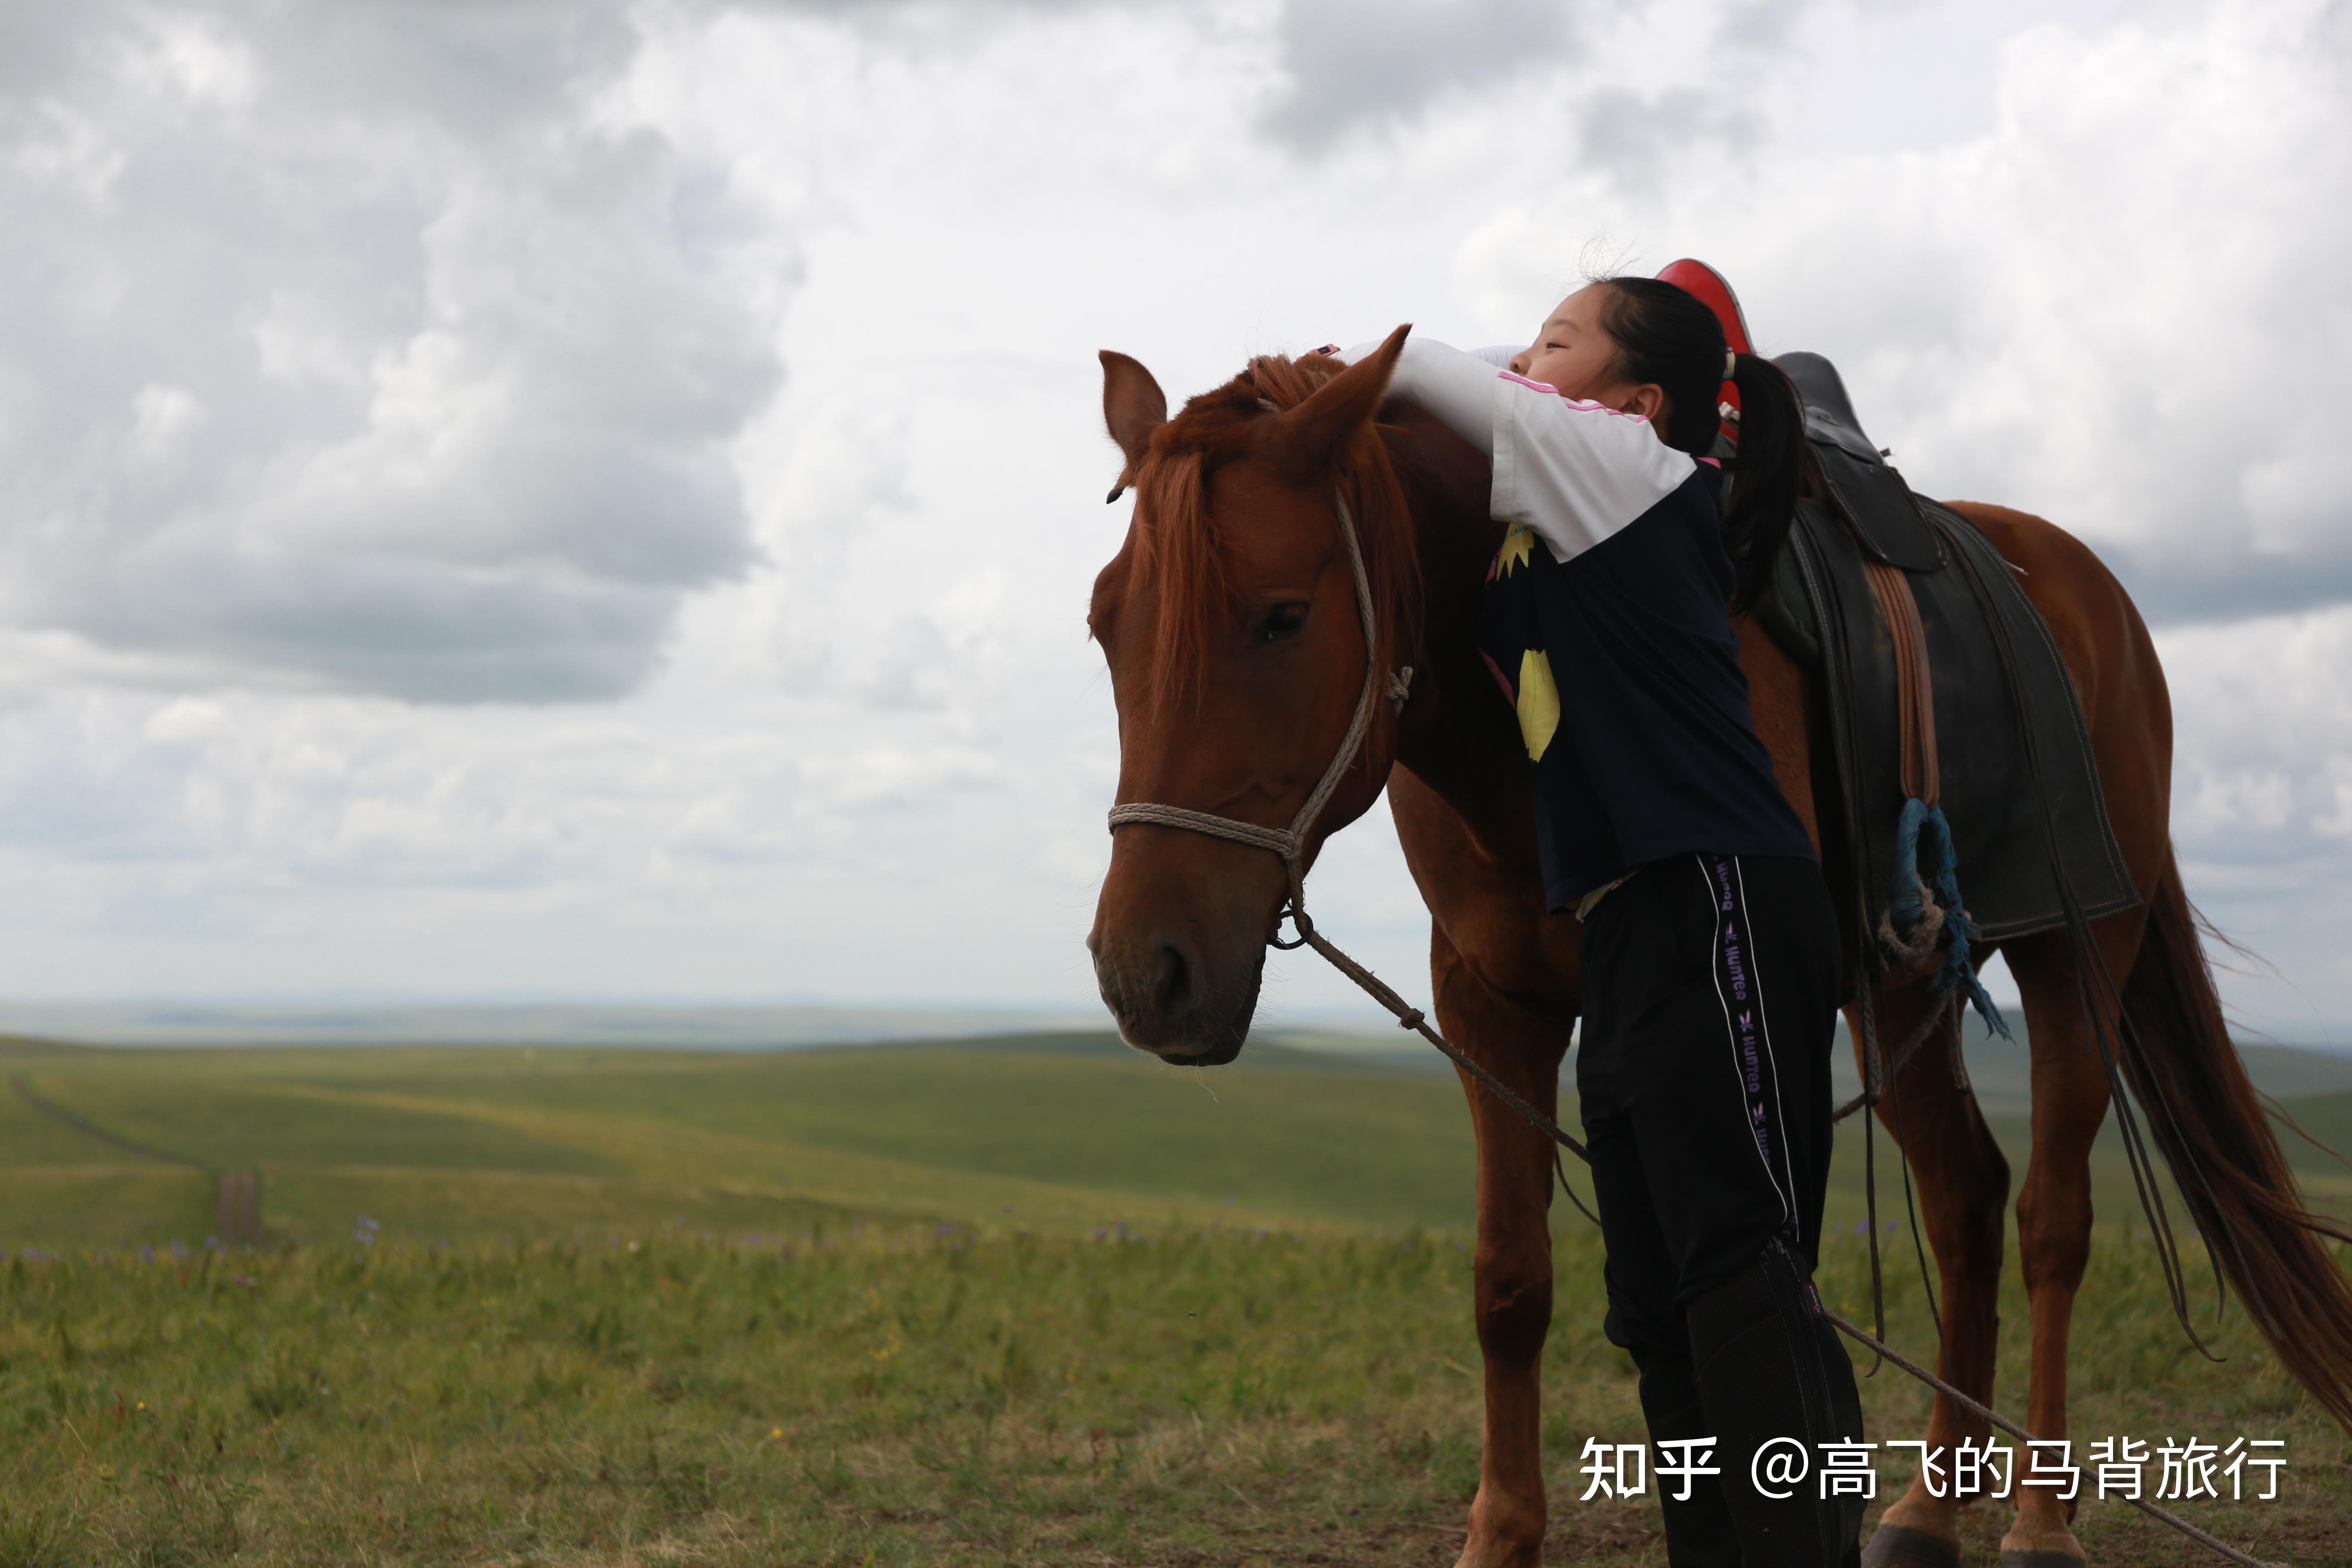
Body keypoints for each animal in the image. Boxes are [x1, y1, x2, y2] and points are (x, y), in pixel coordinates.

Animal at [1083, 328, 2352, 1568]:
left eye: (1283, 617)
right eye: (1103, 625)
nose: (1146, 973)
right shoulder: (1490, 999)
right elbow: (1510, 1281)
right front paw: (1499, 1536)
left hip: (2081, 949)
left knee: (2051, 1218)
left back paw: (2039, 1520)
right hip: (1897, 989)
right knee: (1964, 1200)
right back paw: (1926, 1512)